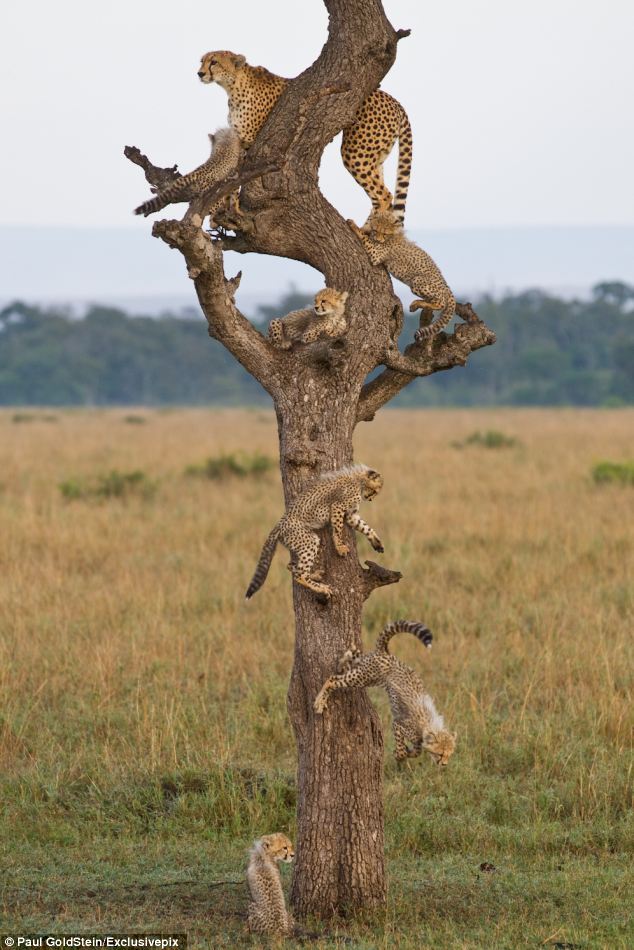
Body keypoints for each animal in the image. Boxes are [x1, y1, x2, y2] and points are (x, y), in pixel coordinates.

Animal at [199, 53, 414, 222]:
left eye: (214, 62)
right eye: (202, 61)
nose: (199, 73)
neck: (232, 85)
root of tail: (394, 100)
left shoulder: (251, 143)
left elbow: (239, 179)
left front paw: (233, 209)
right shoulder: (239, 143)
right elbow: (232, 179)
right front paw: (226, 209)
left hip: (356, 152)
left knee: (384, 195)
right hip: (376, 155)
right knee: (381, 195)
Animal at [244, 464, 382, 600]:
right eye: (375, 491)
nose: (370, 499)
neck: (359, 480)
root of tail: (278, 526)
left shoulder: (350, 514)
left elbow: (365, 527)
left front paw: (377, 542)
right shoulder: (338, 506)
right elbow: (338, 529)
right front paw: (340, 547)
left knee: (291, 566)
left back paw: (315, 575)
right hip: (309, 541)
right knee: (300, 575)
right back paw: (321, 588)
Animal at [314, 620, 454, 768]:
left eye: (449, 754)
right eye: (440, 754)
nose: (444, 764)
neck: (429, 725)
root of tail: (387, 654)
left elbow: (417, 750)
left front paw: (409, 751)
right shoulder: (398, 725)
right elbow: (407, 749)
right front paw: (400, 754)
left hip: (367, 672)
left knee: (356, 655)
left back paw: (344, 660)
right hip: (363, 678)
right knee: (332, 679)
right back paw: (319, 701)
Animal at [348, 212, 456, 342]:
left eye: (384, 233)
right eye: (376, 230)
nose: (378, 239)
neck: (391, 236)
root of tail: (446, 285)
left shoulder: (376, 254)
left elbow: (364, 237)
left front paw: (354, 225)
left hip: (418, 280)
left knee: (441, 303)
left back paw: (418, 303)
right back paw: (416, 304)